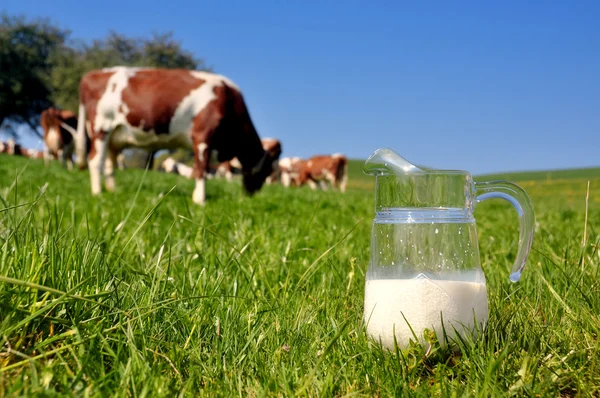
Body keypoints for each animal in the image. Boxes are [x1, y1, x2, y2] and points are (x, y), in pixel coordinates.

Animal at [73, 65, 276, 205]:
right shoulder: (202, 136)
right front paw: (200, 199)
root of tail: (91, 75)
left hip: (114, 135)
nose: (252, 194)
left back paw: (112, 190)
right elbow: (201, 169)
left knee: (110, 164)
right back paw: (97, 193)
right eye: (266, 172)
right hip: (101, 128)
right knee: (94, 161)